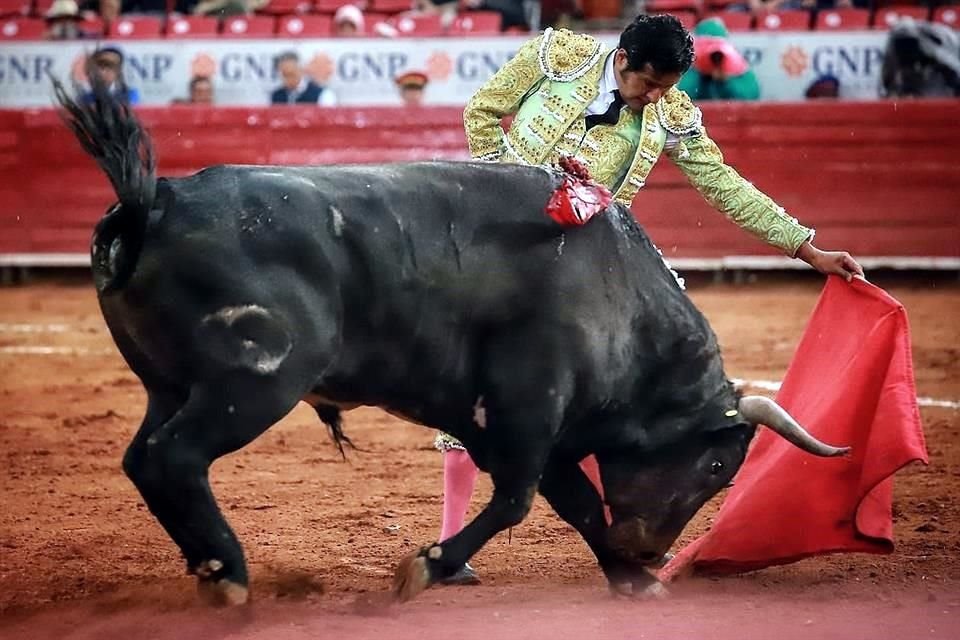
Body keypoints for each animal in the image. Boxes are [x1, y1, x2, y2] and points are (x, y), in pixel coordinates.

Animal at [54, 80, 848, 604]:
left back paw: (211, 571)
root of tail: (156, 199)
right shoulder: (530, 408)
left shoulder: (544, 430)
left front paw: (630, 579)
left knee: (145, 460)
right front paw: (426, 567)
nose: (647, 549)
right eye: (717, 465)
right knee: (176, 458)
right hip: (253, 383)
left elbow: (576, 503)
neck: (623, 301)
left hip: (171, 386)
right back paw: (232, 578)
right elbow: (519, 502)